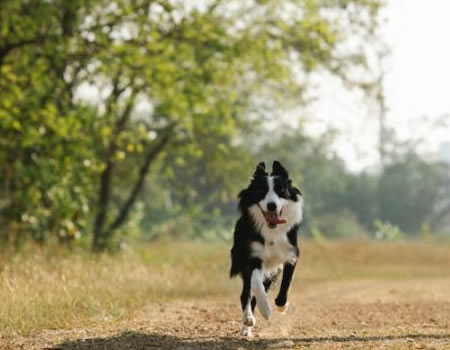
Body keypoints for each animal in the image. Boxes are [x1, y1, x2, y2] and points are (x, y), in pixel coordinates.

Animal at [230, 161, 304, 336]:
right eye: (261, 191)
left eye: (281, 191)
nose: (272, 206)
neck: (272, 231)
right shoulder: (252, 257)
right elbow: (256, 284)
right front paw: (266, 310)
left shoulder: (290, 254)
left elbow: (286, 283)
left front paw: (281, 305)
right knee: (246, 293)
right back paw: (247, 321)